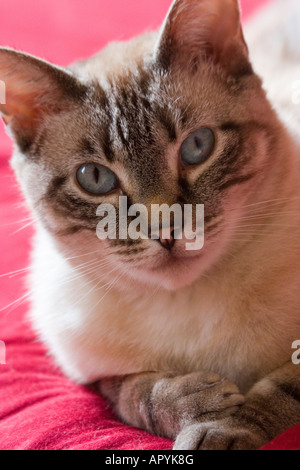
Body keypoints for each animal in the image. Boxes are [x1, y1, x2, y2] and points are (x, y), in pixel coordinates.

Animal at [0, 0, 300, 450]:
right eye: (95, 178)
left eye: (197, 147)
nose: (165, 231)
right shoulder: (99, 375)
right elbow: (137, 394)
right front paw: (198, 404)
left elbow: (275, 393)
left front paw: (224, 430)